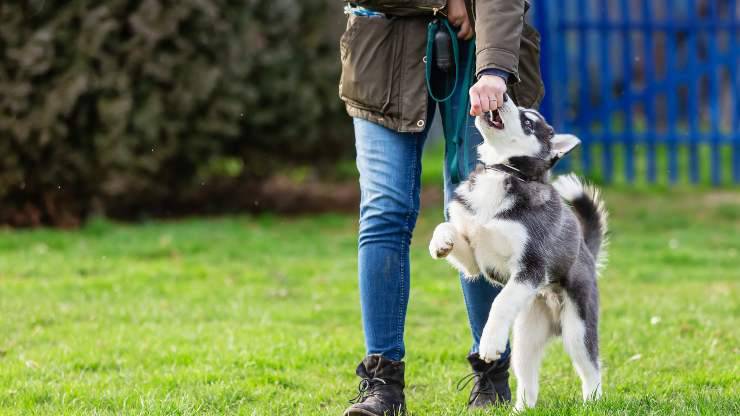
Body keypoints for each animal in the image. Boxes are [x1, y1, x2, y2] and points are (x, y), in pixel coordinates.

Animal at [428, 98, 608, 412]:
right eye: (523, 112)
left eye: (528, 122)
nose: (502, 97)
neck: (503, 171)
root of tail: (585, 250)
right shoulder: (475, 262)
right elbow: (448, 226)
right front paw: (441, 242)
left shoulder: (532, 267)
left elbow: (500, 303)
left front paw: (489, 343)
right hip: (526, 337)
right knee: (528, 377)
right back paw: (522, 408)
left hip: (577, 328)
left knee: (591, 366)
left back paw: (592, 402)